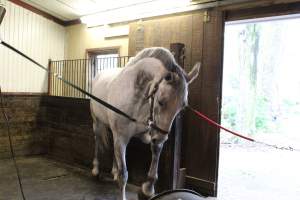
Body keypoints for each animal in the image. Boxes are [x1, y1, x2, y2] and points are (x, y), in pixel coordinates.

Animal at [90, 47, 200, 200]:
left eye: (182, 107)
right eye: (161, 101)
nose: (161, 138)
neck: (138, 101)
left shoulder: (150, 133)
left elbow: (154, 160)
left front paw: (147, 189)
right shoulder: (122, 138)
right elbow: (124, 175)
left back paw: (114, 171)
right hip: (97, 123)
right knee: (97, 142)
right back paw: (95, 169)